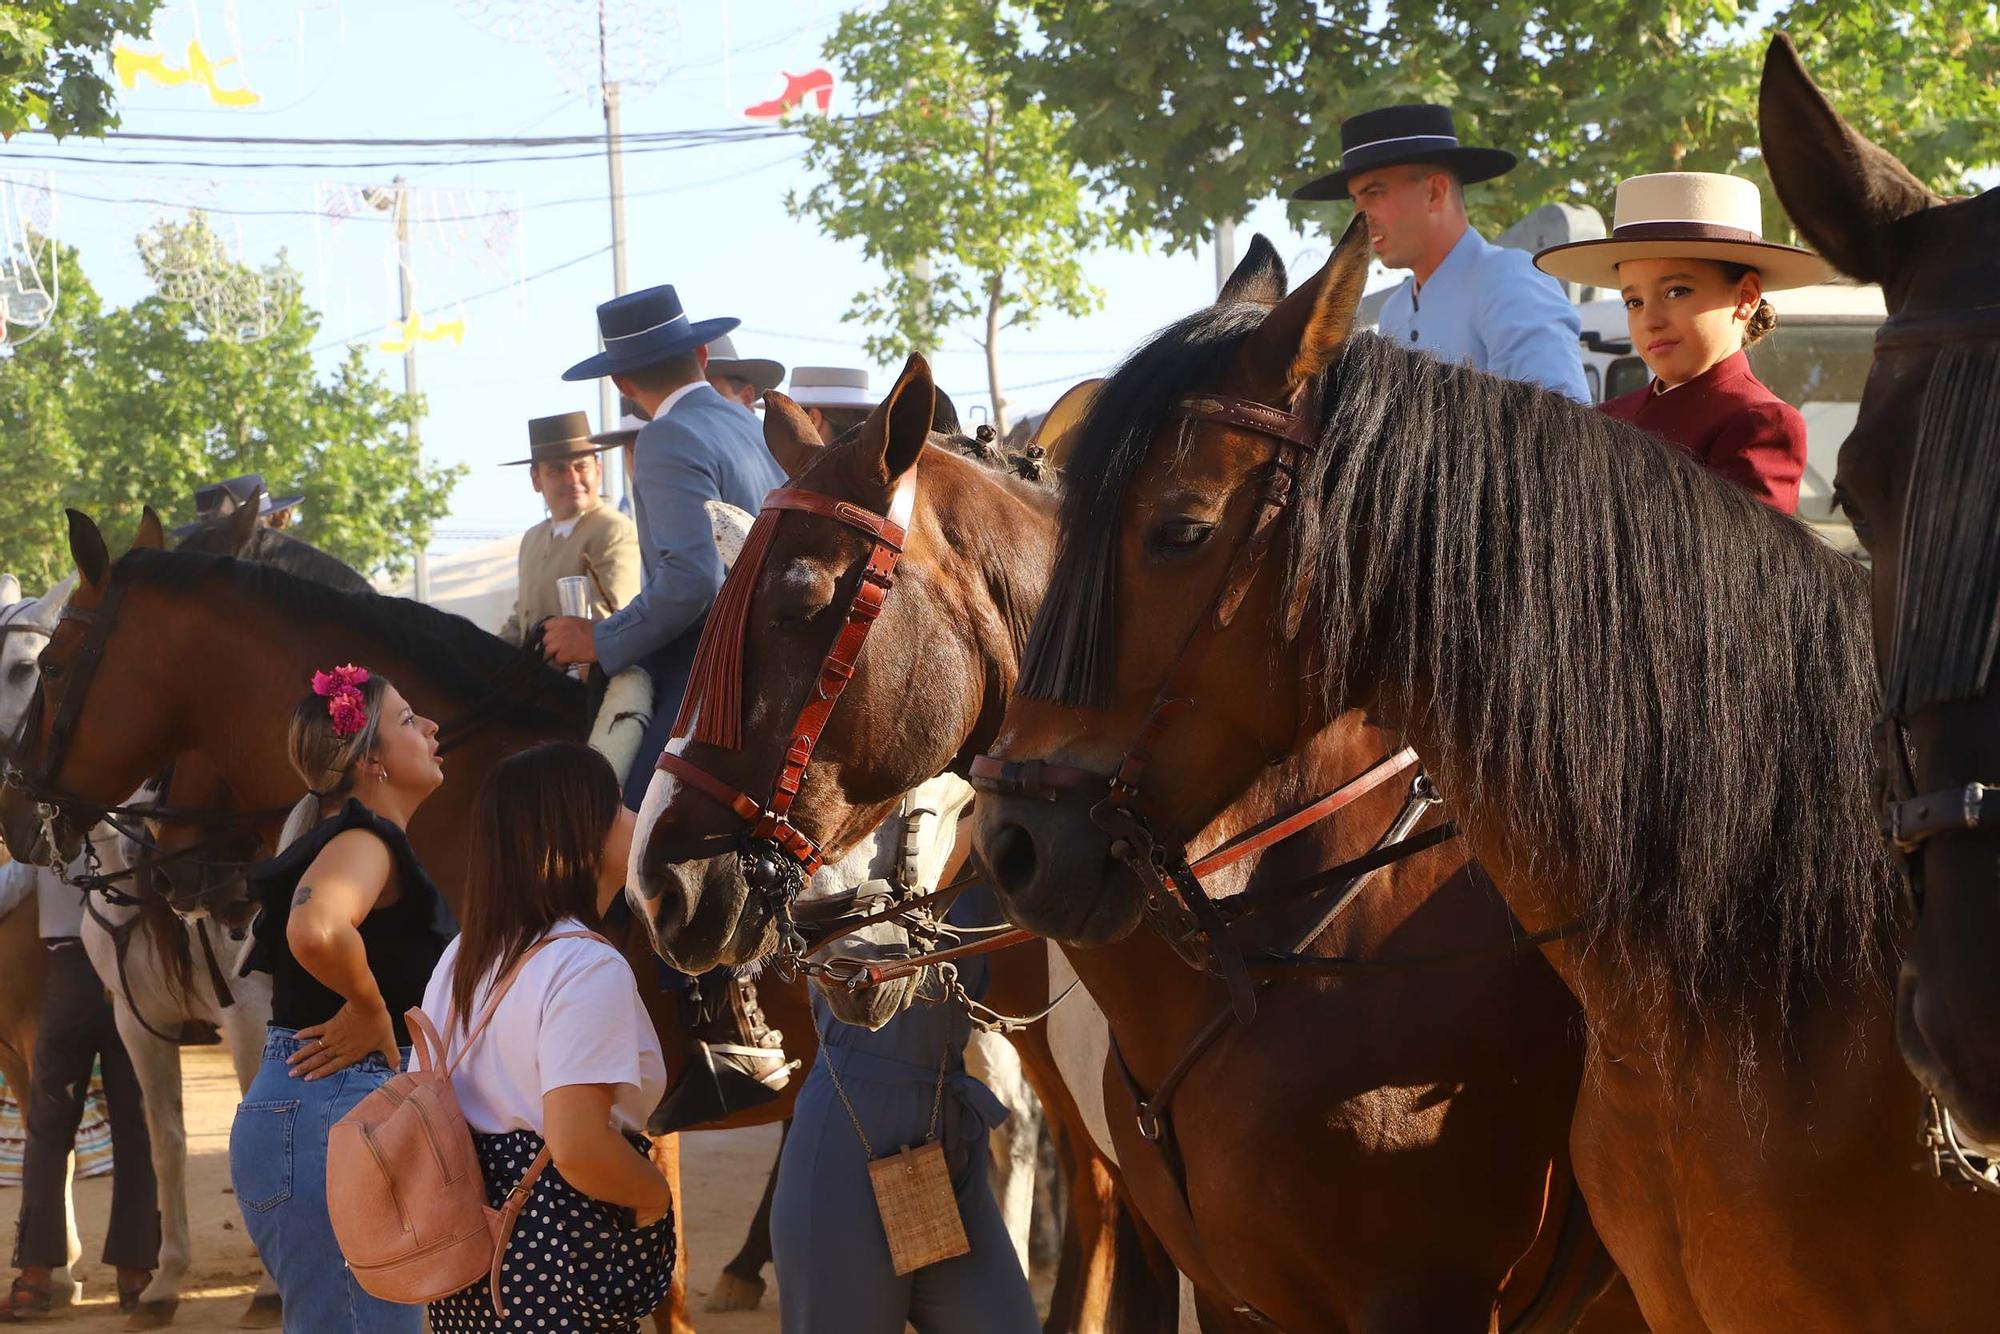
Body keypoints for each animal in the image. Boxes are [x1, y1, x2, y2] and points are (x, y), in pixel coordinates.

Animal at [0, 580, 278, 1328]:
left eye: (29, 669)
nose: (17, 808)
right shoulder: (133, 1023)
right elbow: (163, 1143)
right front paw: (161, 1283)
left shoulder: (250, 1017)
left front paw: (272, 1287)